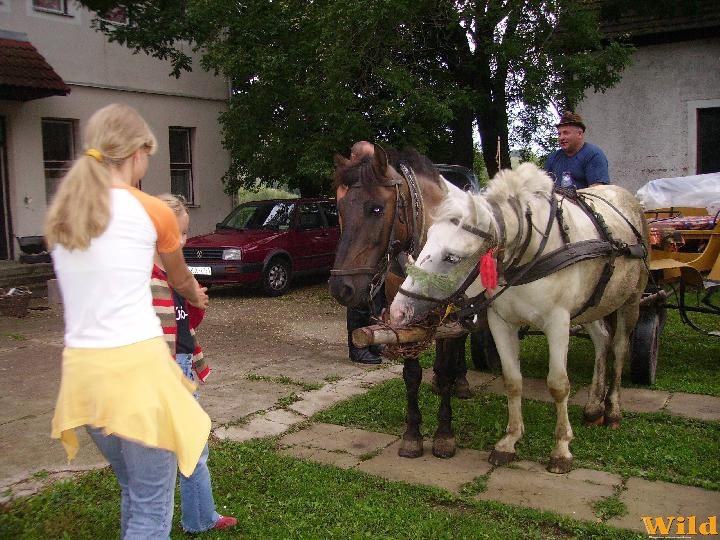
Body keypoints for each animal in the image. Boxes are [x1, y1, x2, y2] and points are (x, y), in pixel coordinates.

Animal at [330, 146, 476, 458]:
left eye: (376, 208)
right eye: (340, 209)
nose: (341, 288)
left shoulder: (451, 316)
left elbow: (448, 362)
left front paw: (444, 434)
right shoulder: (404, 320)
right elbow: (412, 375)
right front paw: (412, 435)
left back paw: (460, 382)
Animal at [390, 163, 648, 472]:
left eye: (452, 257)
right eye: (428, 240)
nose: (398, 311)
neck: (530, 252)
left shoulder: (558, 323)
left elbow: (558, 385)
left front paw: (561, 448)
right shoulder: (501, 322)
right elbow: (512, 381)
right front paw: (509, 441)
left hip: (631, 299)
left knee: (619, 348)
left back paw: (612, 410)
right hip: (593, 304)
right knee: (602, 341)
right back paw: (594, 407)